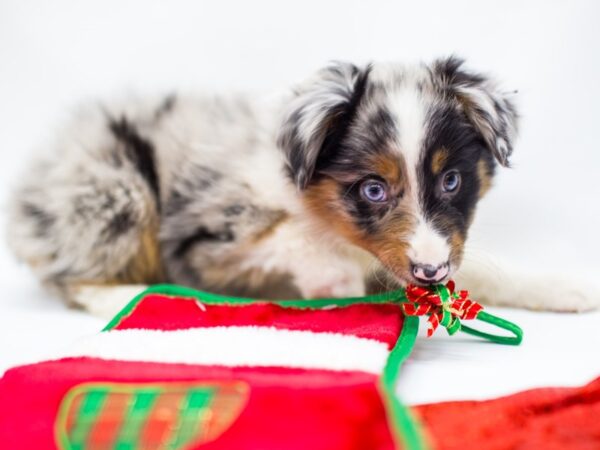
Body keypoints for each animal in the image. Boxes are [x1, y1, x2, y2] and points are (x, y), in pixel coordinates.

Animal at [7, 57, 596, 316]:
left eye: (451, 180)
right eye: (373, 190)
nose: (430, 272)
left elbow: (484, 269)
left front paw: (569, 287)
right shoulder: (205, 235)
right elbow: (291, 239)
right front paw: (335, 278)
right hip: (112, 192)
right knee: (68, 276)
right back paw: (130, 295)